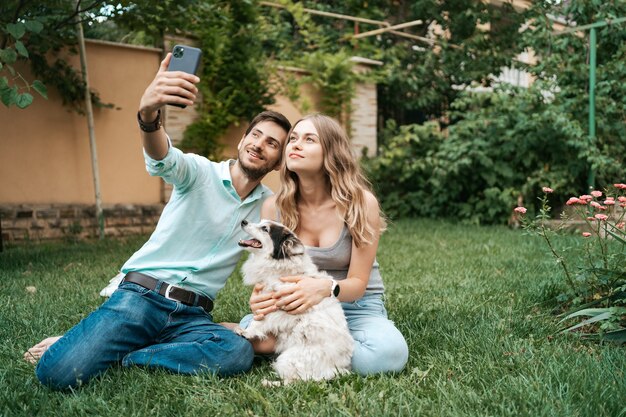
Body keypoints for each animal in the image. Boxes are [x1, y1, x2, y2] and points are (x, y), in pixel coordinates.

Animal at [235, 218, 354, 384]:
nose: (243, 221)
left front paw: (246, 332)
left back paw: (269, 383)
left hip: (288, 359)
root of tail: (334, 369)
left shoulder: (279, 308)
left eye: (265, 229)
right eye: (260, 222)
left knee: (293, 382)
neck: (279, 266)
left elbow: (258, 322)